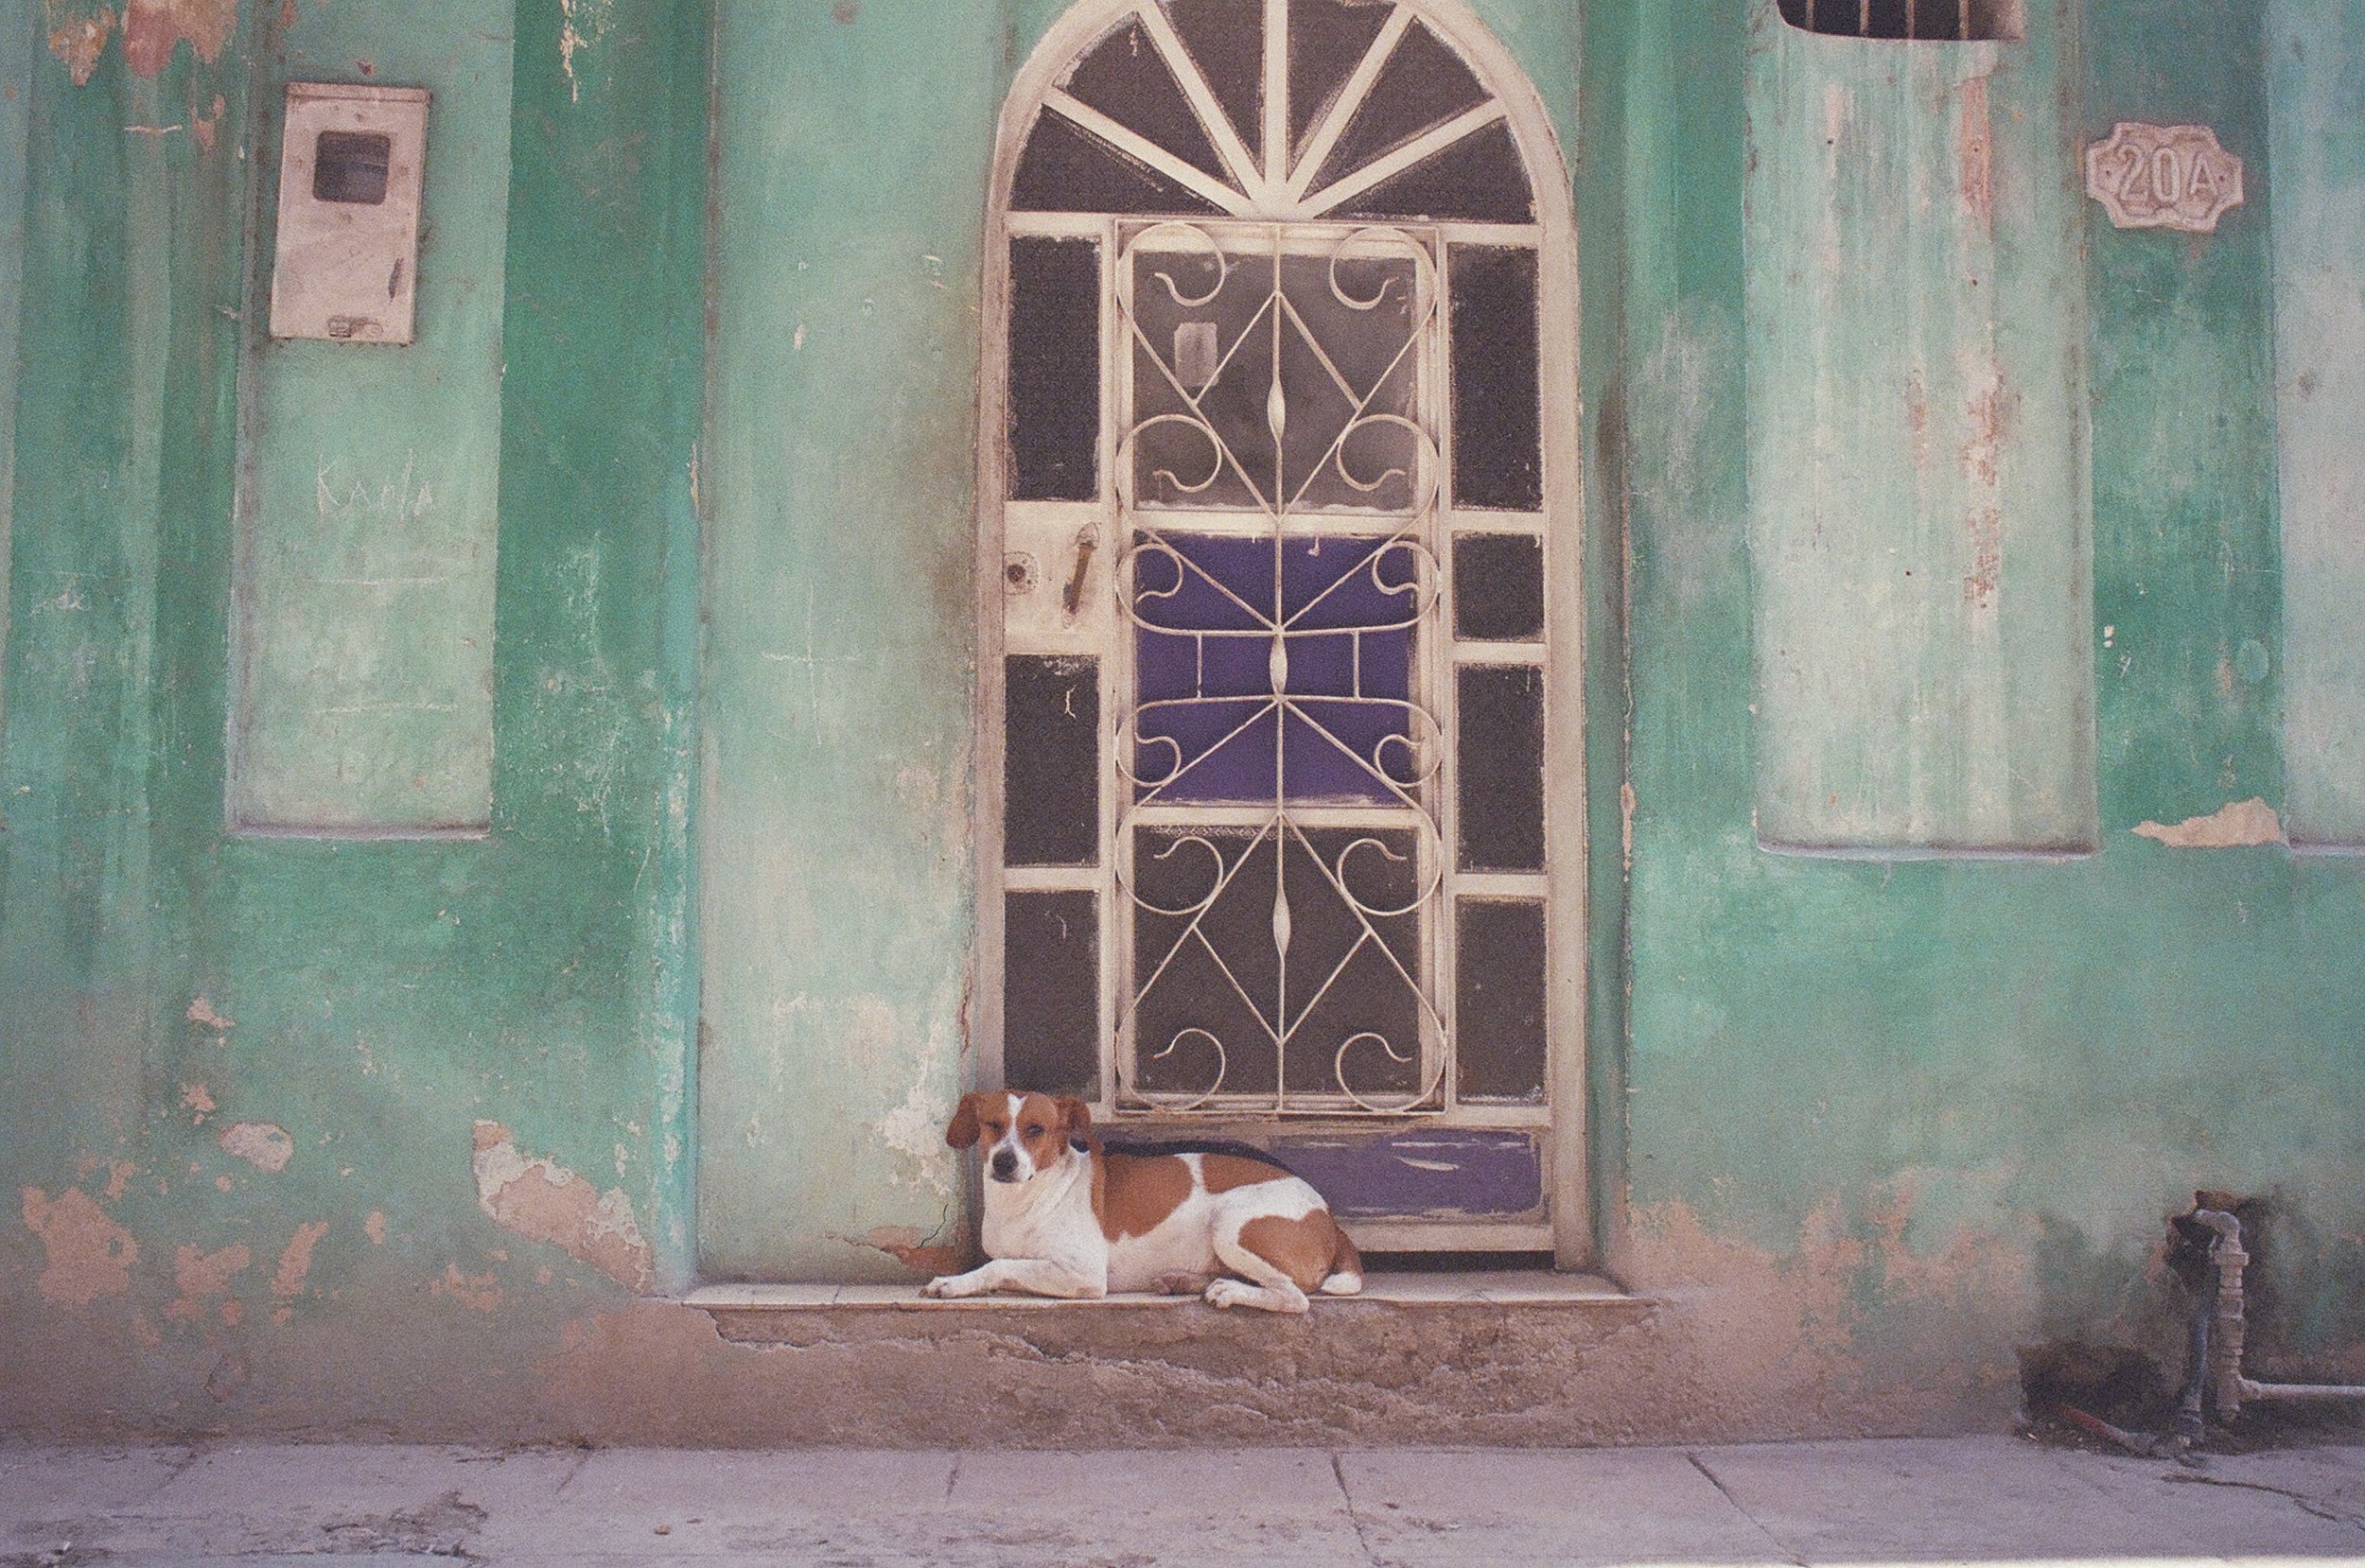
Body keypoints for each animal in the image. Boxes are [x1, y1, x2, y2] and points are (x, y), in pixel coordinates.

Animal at [922, 1092, 1372, 1315]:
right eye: (992, 1125)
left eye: (1036, 1129)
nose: (1004, 1161)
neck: (1026, 1199)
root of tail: (1330, 1218)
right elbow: (1003, 1263)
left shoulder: (1083, 1275)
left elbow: (1000, 1266)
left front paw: (954, 1283)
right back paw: (1187, 1281)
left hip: (1231, 1225)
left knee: (1293, 1297)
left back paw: (1230, 1292)